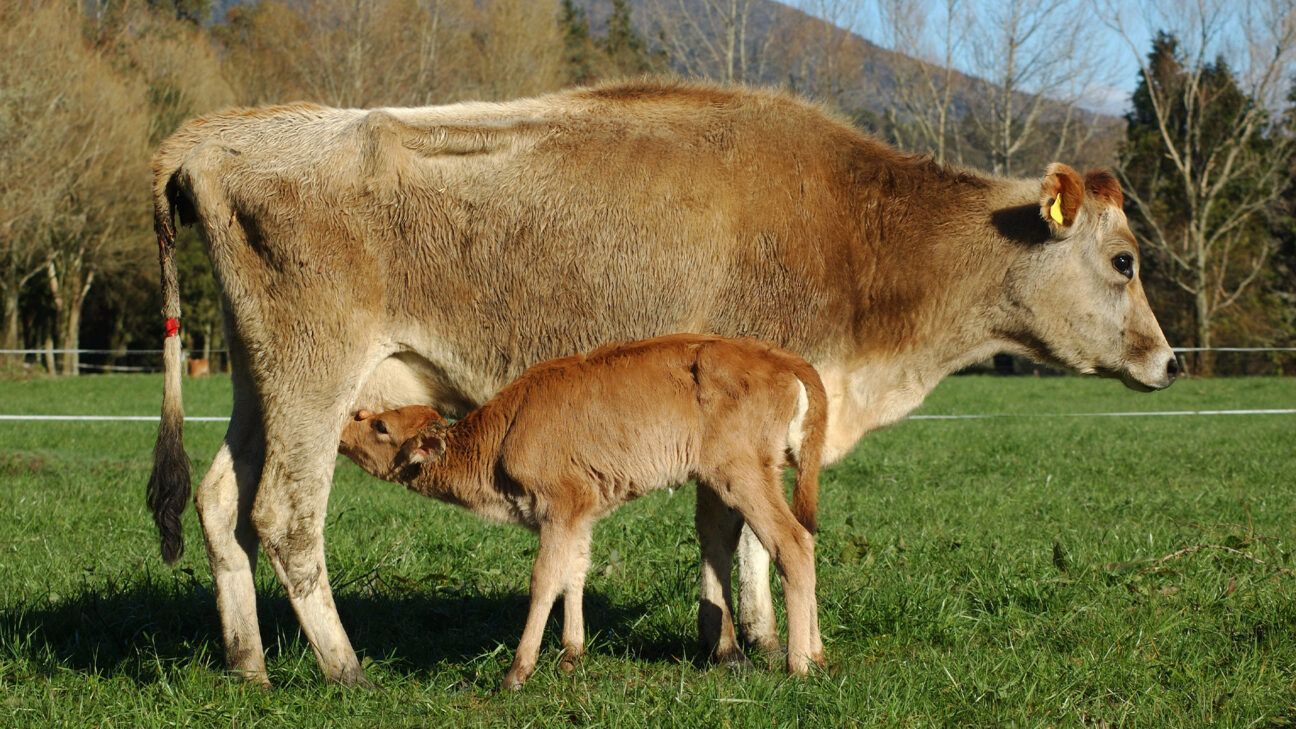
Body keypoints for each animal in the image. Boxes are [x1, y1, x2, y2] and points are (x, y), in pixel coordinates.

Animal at [339, 334, 824, 684]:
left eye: (379, 425)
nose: (341, 430)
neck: (504, 432)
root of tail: (777, 357)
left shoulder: (559, 507)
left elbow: (543, 579)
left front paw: (517, 672)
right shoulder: (578, 514)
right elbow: (574, 572)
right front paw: (571, 654)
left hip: (742, 476)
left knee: (793, 544)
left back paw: (798, 665)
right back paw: (817, 655)